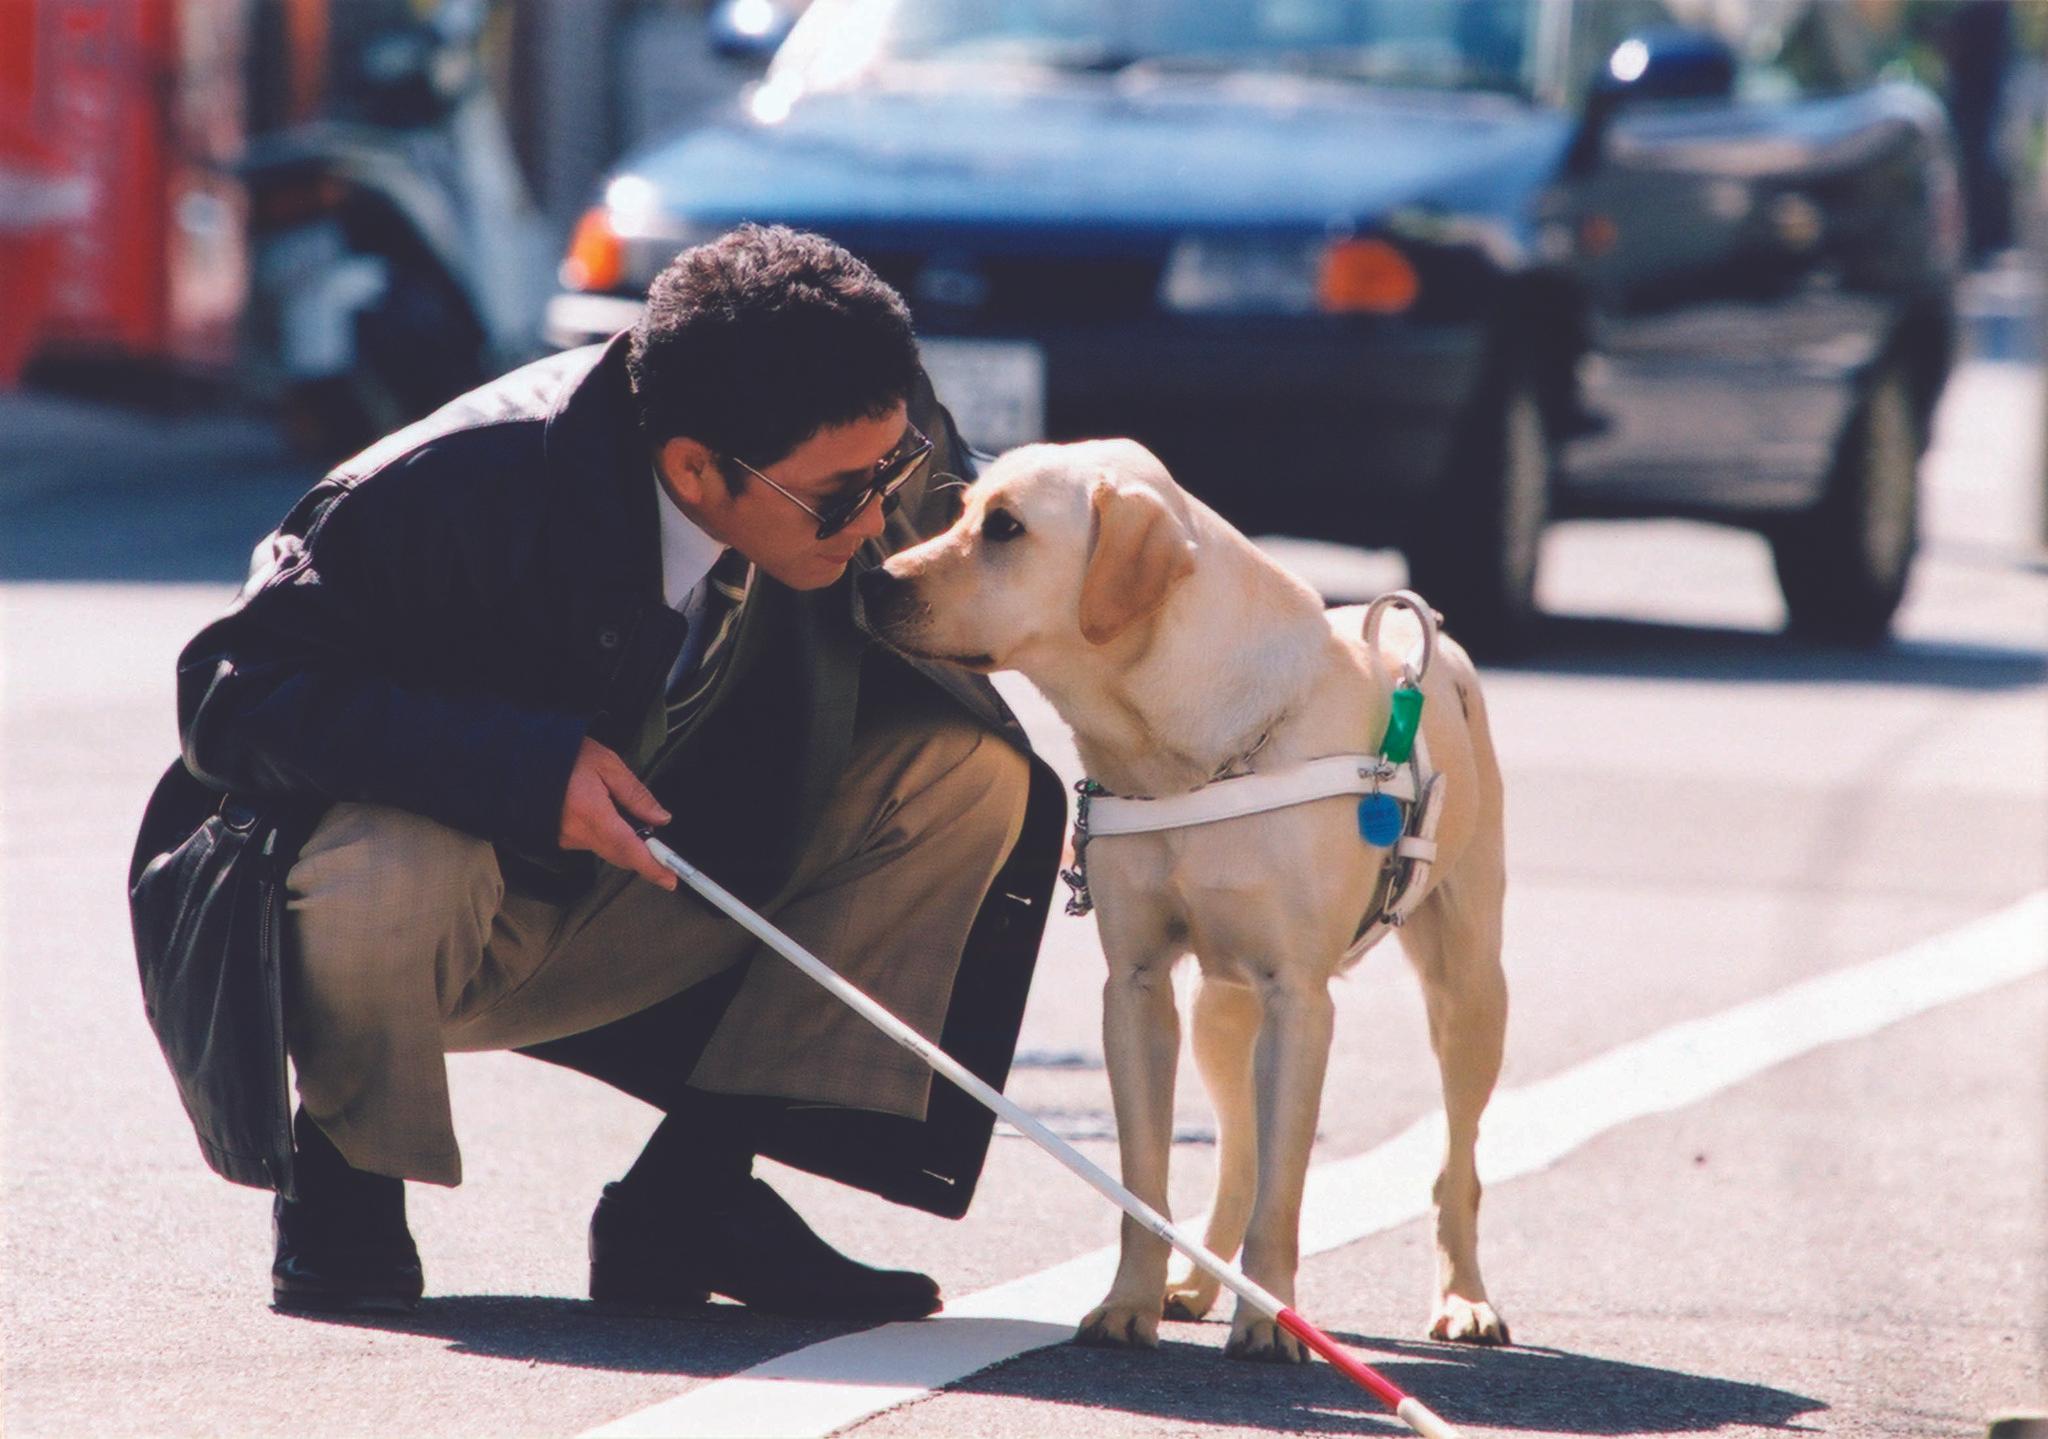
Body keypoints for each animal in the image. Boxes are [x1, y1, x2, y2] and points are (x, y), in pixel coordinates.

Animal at [856, 438, 1515, 1359]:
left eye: (1006, 528)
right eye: (959, 512)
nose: (871, 580)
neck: (1184, 754)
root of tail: (1433, 648)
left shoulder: (1299, 999)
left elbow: (1285, 1191)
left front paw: (1270, 1320)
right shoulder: (1135, 988)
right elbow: (1148, 1180)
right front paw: (1128, 1301)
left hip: (1468, 991)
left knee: (1454, 1162)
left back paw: (1464, 1299)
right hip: (1218, 1009)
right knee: (1237, 1154)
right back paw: (1201, 1284)